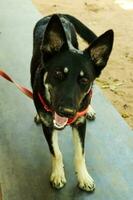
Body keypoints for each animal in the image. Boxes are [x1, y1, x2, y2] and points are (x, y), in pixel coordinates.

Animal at [30, 13, 114, 191]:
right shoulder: (48, 127)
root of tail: (59, 14)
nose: (67, 112)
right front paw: (58, 174)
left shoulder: (80, 125)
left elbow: (80, 154)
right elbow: (56, 152)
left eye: (84, 80)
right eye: (58, 74)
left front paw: (83, 177)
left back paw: (89, 109)